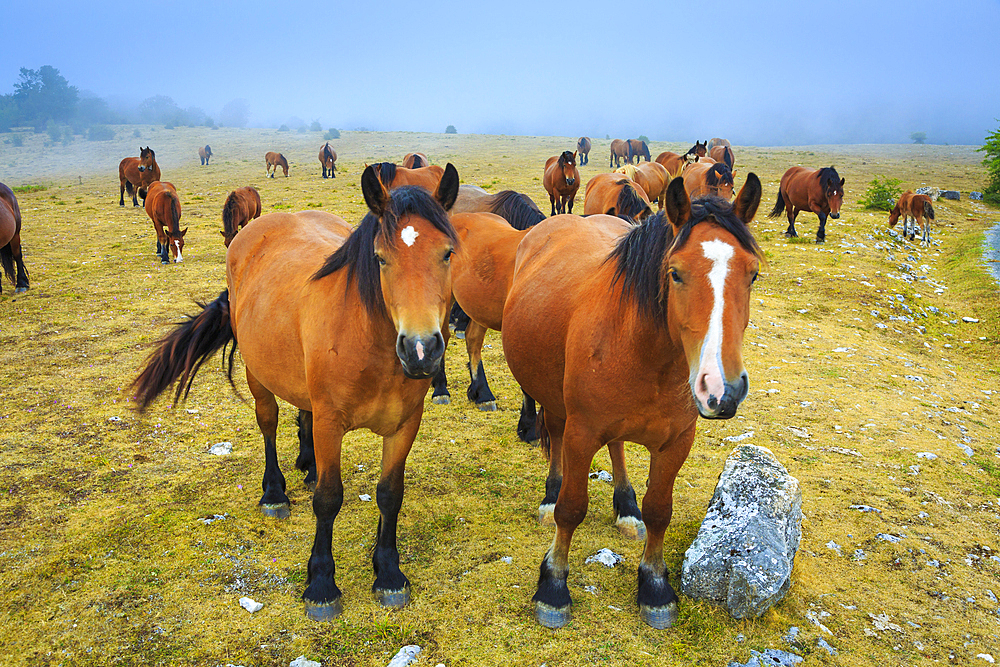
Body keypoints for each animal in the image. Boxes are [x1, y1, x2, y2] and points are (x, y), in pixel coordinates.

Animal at [131, 162, 462, 620]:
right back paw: (275, 492)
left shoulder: (405, 424)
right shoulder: (330, 422)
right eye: (380, 258)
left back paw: (307, 465)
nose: (421, 349)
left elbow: (389, 494)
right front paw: (321, 583)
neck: (369, 343)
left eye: (447, 253)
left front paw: (389, 573)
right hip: (258, 375)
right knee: (268, 424)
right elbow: (329, 498)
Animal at [504, 175, 760, 628]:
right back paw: (550, 496)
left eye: (753, 275)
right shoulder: (582, 433)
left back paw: (625, 506)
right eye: (675, 274)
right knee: (555, 434)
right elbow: (572, 508)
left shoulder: (677, 442)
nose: (722, 387)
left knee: (618, 445)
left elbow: (660, 510)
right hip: (554, 401)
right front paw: (553, 586)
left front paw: (655, 586)